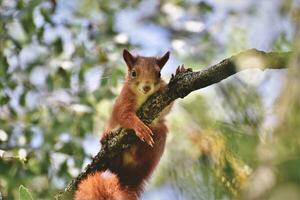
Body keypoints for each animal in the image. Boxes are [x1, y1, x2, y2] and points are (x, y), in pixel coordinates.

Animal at [75, 48, 180, 200]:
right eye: (133, 73)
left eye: (159, 73)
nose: (146, 87)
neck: (142, 96)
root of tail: (129, 179)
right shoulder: (123, 101)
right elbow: (125, 116)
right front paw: (140, 127)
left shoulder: (162, 99)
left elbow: (168, 108)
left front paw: (180, 72)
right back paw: (107, 138)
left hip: (157, 139)